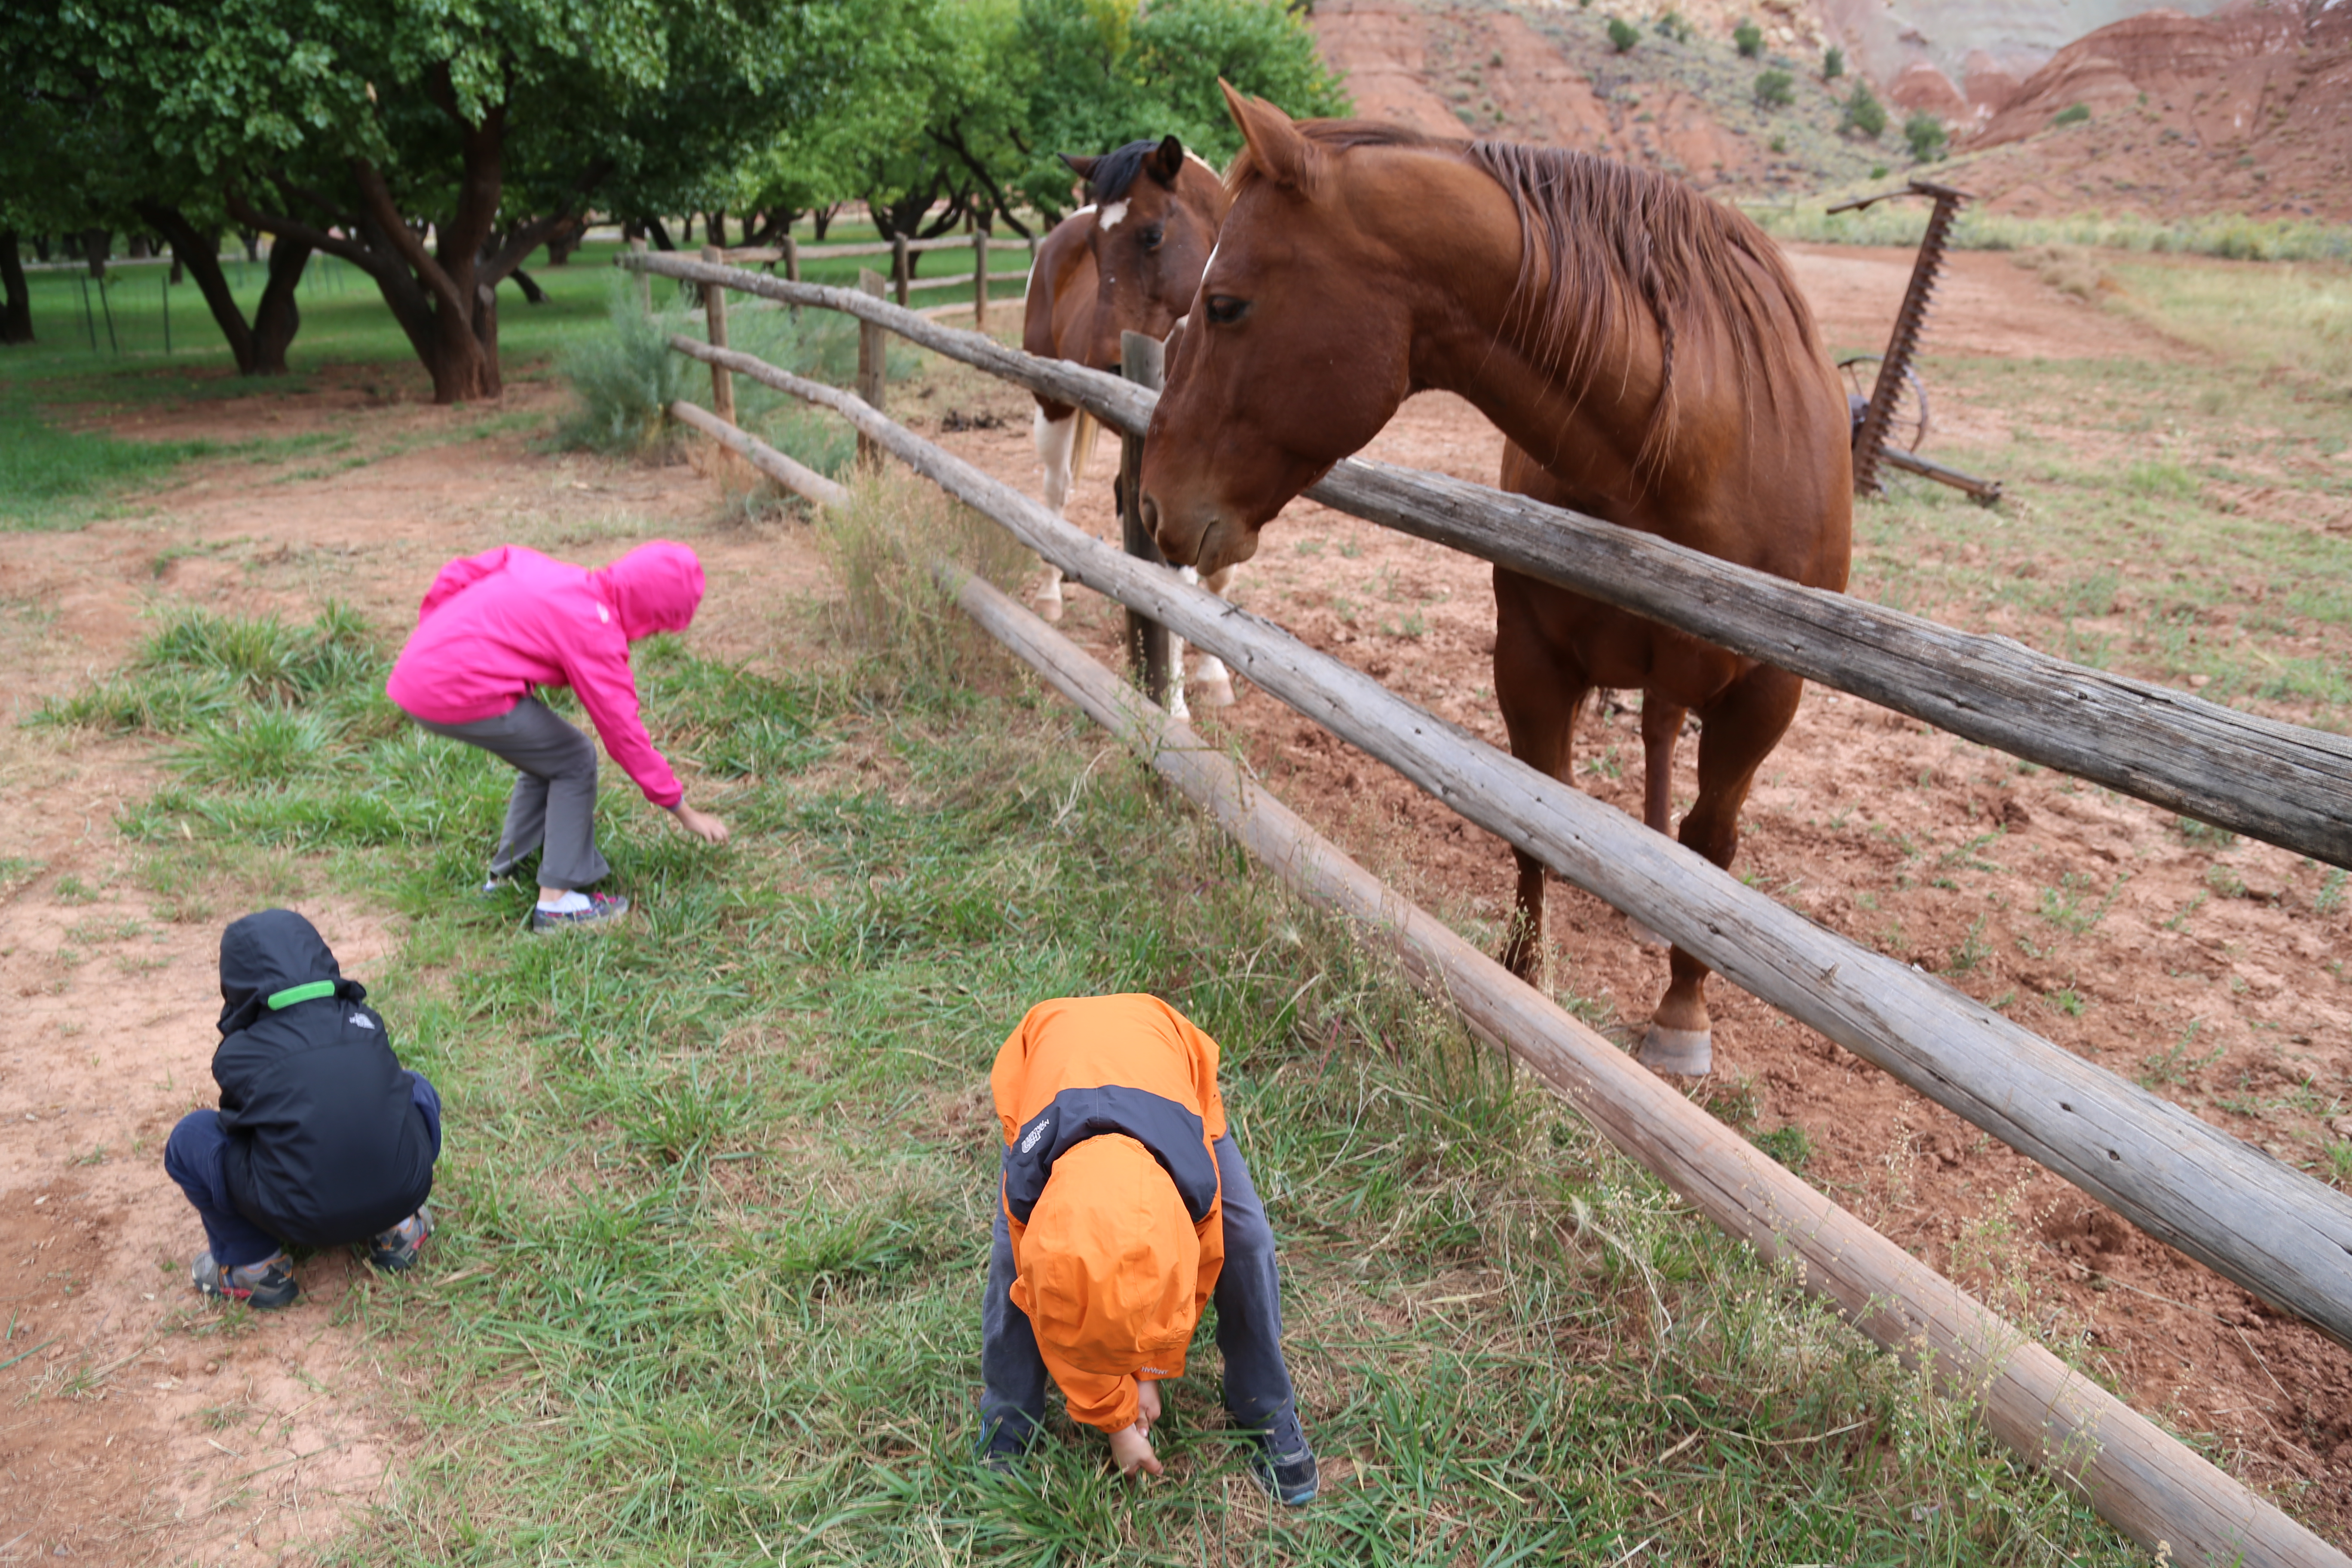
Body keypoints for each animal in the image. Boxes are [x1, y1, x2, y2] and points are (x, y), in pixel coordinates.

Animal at [1030, 138, 1251, 714]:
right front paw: (1173, 706)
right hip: (1051, 406)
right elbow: (1182, 581)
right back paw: (1050, 594)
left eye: (1152, 235)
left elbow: (1219, 574)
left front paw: (1214, 674)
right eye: (1094, 245)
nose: (1101, 362)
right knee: (1055, 494)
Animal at [1138, 92, 1853, 1081]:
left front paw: (1681, 1016)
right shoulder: (1530, 659)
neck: (1688, 453)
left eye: (1226, 304)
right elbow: (1533, 817)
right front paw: (1524, 998)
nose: (1152, 499)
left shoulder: (1766, 699)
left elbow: (1714, 853)